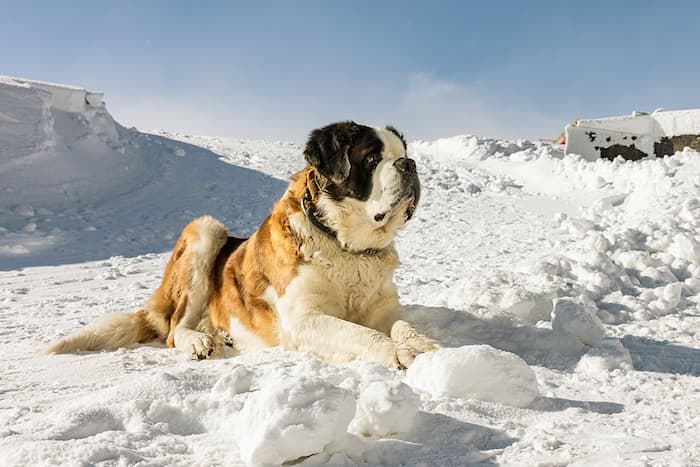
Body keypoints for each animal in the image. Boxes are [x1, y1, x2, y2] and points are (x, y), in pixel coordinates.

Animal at [45, 121, 438, 370]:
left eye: (402, 153)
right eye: (371, 158)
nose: (409, 163)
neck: (346, 247)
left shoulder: (383, 308)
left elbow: (400, 325)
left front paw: (425, 344)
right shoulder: (304, 320)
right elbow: (358, 331)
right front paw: (398, 353)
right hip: (205, 231)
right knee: (174, 329)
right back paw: (201, 342)